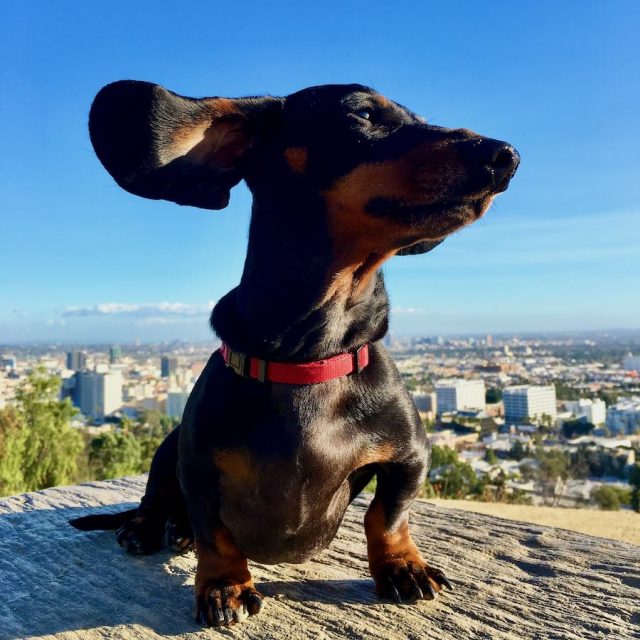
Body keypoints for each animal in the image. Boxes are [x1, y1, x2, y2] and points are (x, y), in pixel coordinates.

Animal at [70, 79, 520, 624]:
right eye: (362, 113)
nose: (506, 156)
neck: (310, 358)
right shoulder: (195, 465)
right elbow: (215, 533)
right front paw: (224, 586)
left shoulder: (411, 456)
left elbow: (388, 515)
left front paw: (402, 566)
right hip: (167, 447)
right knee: (156, 499)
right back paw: (148, 527)